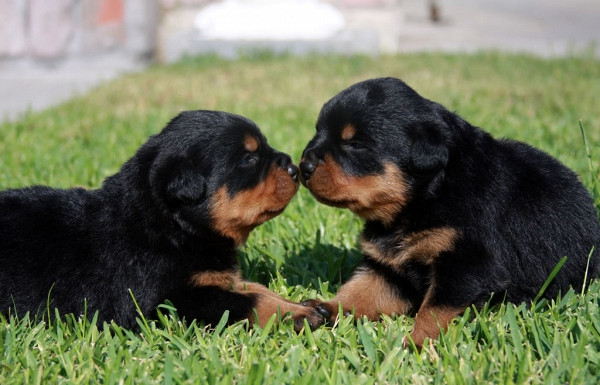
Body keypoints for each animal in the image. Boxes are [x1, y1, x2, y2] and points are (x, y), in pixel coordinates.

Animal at [0, 110, 324, 330]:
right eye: (248, 159)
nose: (294, 167)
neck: (172, 229)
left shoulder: (216, 276)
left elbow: (255, 287)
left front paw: (305, 305)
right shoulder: (167, 300)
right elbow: (247, 301)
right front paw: (298, 314)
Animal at [300, 76, 600, 346]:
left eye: (355, 144)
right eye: (317, 132)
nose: (304, 165)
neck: (421, 200)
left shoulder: (467, 264)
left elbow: (434, 310)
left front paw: (416, 343)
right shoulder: (389, 269)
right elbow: (361, 290)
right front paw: (324, 308)